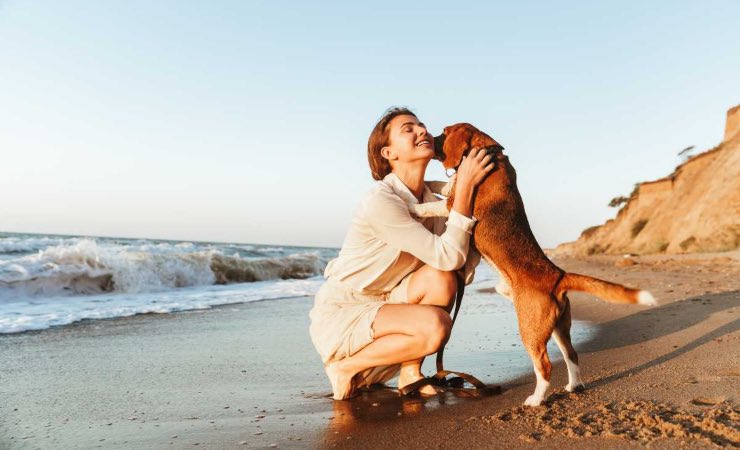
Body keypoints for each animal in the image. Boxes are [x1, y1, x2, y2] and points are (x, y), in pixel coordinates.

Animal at [408, 123, 656, 408]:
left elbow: (434, 203)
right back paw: (573, 385)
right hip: (560, 327)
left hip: (530, 330)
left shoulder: (453, 205)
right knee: (572, 355)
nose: (428, 140)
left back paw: (536, 399)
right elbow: (443, 184)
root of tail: (558, 275)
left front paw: (415, 207)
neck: (490, 151)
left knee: (545, 366)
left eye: (444, 132)